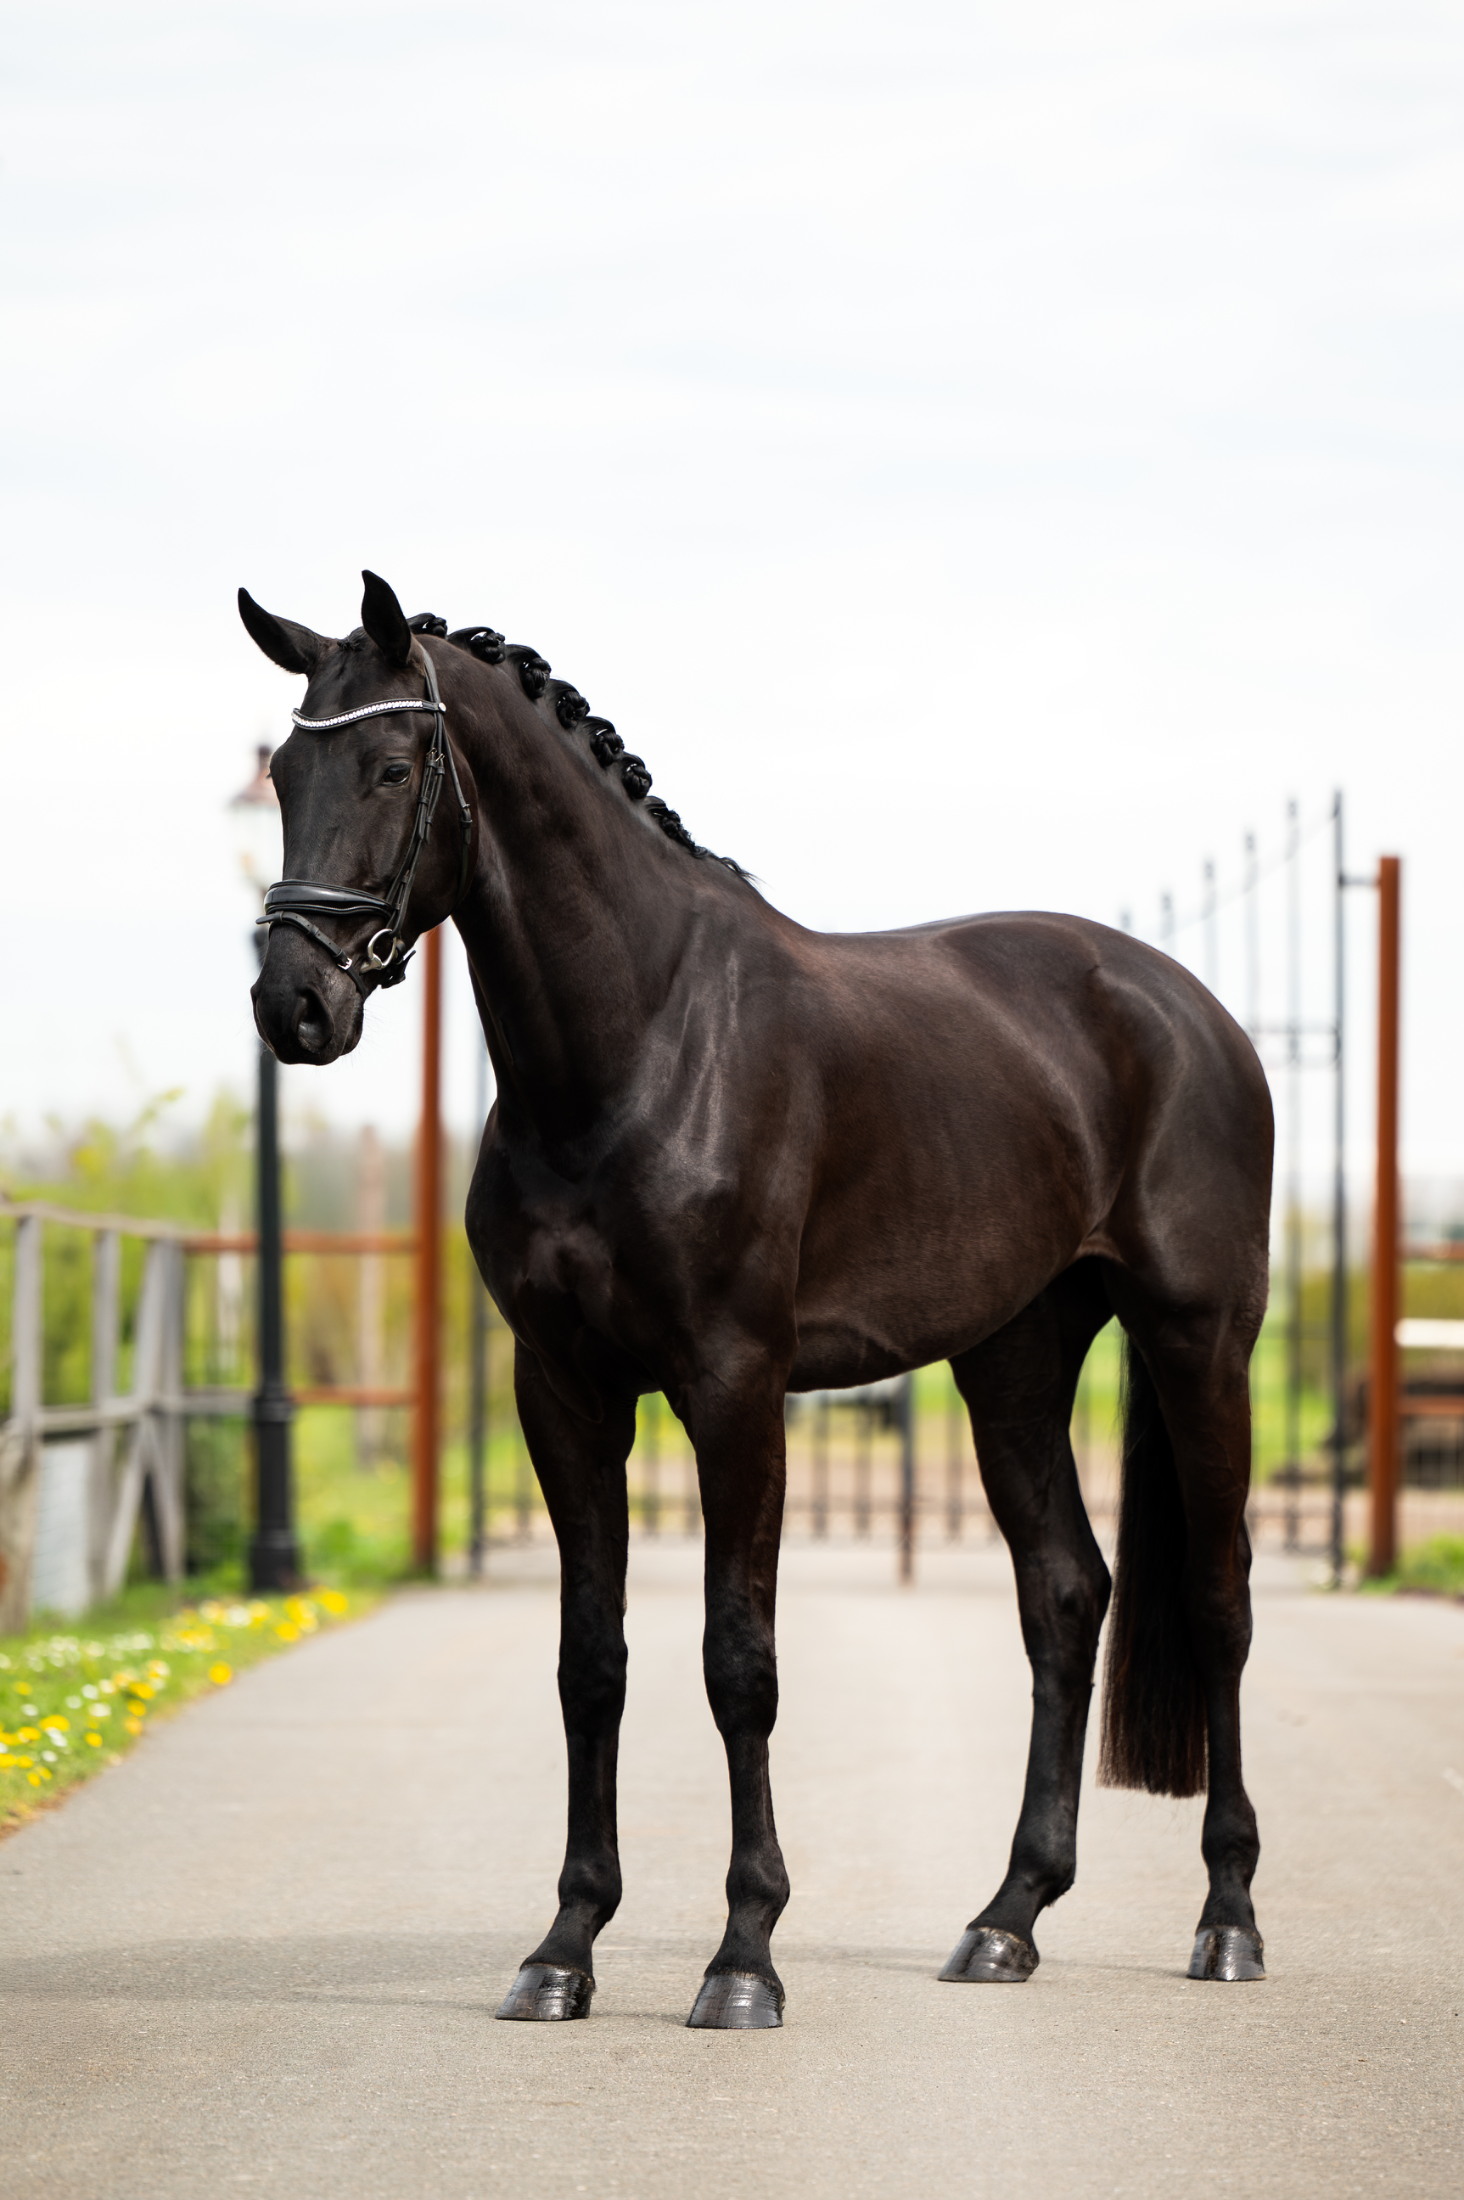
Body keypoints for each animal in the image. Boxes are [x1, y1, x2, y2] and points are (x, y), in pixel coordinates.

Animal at [240, 570, 1274, 2029]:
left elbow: (740, 1662)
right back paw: (1006, 1918)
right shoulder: (563, 1389)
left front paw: (743, 1958)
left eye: (392, 765)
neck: (639, 1050)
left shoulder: (733, 1386)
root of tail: (1189, 1013)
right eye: (284, 771)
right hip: (1014, 1360)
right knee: (1066, 1593)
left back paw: (1228, 1919)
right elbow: (591, 1660)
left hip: (1200, 1337)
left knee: (1220, 1596)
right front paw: (563, 1948)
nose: (294, 1003)